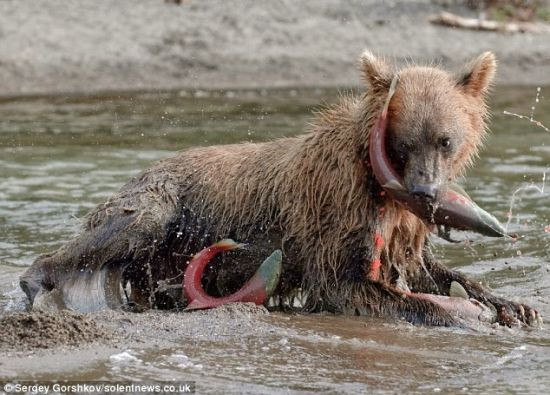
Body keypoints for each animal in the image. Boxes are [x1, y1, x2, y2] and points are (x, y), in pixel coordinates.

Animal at [20, 50, 544, 328]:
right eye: (402, 142)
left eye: (444, 139)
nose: (426, 192)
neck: (376, 184)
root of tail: (142, 169)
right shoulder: (334, 212)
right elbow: (350, 285)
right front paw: (462, 314)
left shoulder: (398, 228)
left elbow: (425, 269)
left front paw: (513, 305)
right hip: (163, 203)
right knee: (118, 232)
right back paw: (37, 285)